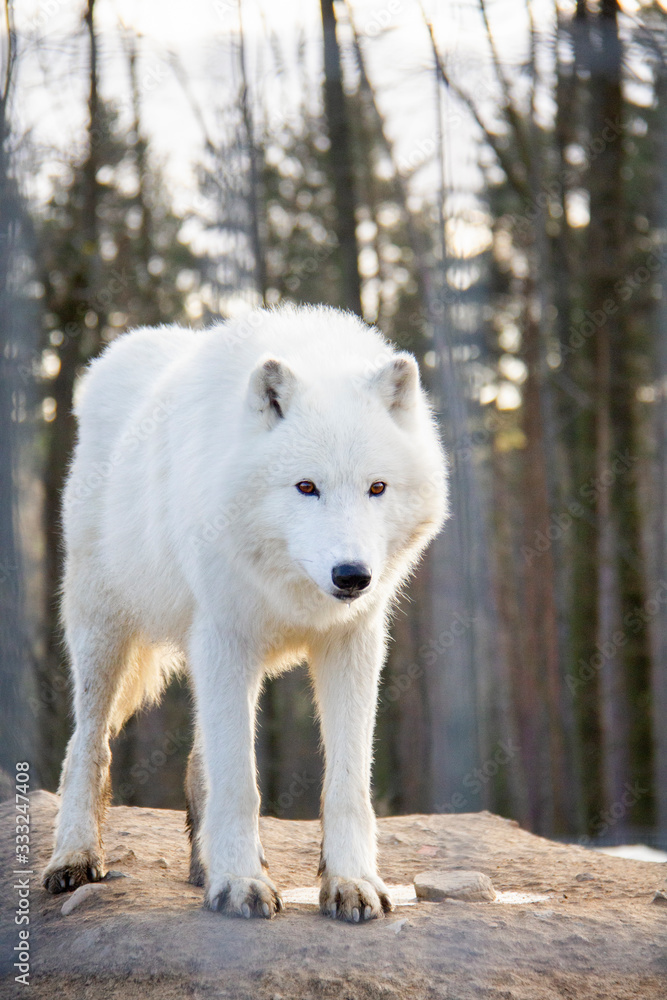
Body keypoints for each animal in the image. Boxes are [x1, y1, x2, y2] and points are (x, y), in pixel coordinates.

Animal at [42, 304, 448, 921]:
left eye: (377, 488)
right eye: (306, 486)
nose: (352, 575)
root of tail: (115, 354)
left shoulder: (352, 643)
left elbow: (348, 783)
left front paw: (350, 882)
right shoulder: (226, 638)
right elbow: (240, 781)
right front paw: (240, 883)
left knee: (196, 759)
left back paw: (200, 865)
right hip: (103, 633)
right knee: (86, 746)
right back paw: (74, 858)